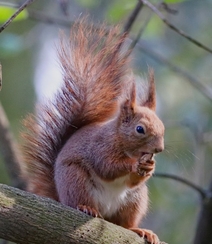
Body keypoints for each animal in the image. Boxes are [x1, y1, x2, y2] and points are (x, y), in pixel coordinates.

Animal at [20, 21, 165, 244]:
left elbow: (132, 181)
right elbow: (106, 167)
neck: (119, 139)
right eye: (139, 129)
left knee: (124, 223)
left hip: (135, 200)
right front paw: (133, 165)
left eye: (163, 128)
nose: (159, 149)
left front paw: (149, 167)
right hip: (75, 180)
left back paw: (139, 230)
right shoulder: (99, 147)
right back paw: (87, 208)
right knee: (82, 200)